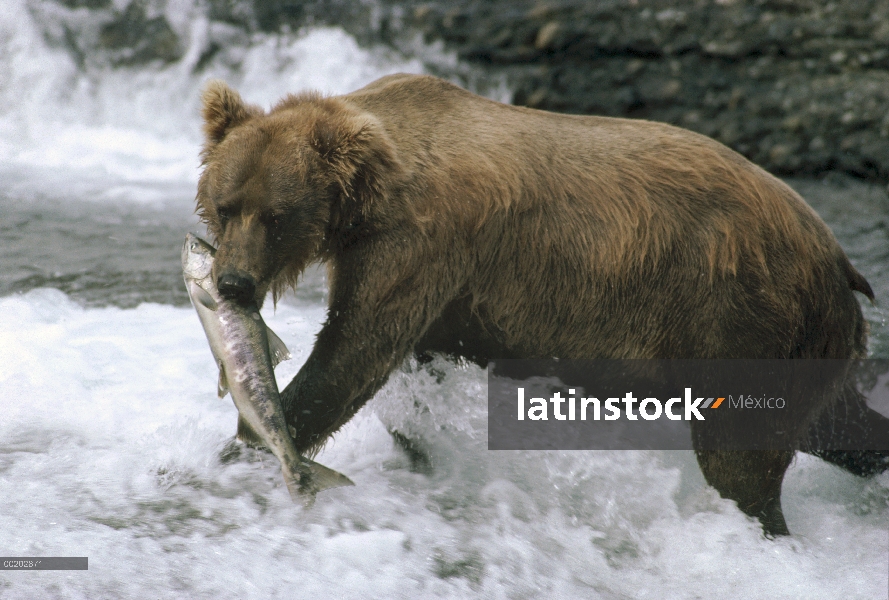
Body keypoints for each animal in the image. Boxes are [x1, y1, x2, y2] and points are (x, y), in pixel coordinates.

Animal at [198, 72, 884, 536]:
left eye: (276, 216)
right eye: (225, 205)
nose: (232, 283)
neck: (367, 199)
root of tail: (834, 254)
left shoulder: (419, 246)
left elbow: (349, 357)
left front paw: (243, 447)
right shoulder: (434, 289)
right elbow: (405, 379)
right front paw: (424, 453)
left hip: (740, 319)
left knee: (742, 458)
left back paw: (761, 527)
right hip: (802, 341)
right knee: (837, 425)